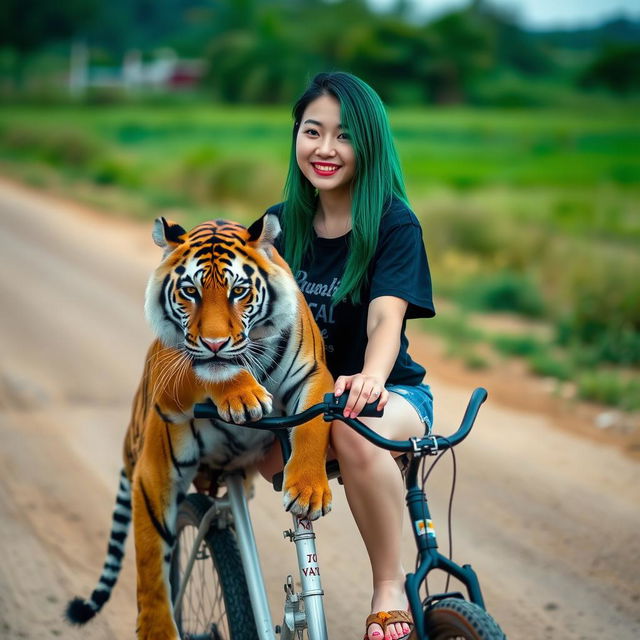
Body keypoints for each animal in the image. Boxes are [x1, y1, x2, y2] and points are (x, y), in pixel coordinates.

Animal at [65, 214, 336, 640]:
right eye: (189, 291)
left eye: (239, 291)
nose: (214, 342)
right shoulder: (164, 416)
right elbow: (151, 566)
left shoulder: (313, 374)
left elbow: (312, 426)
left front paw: (309, 490)